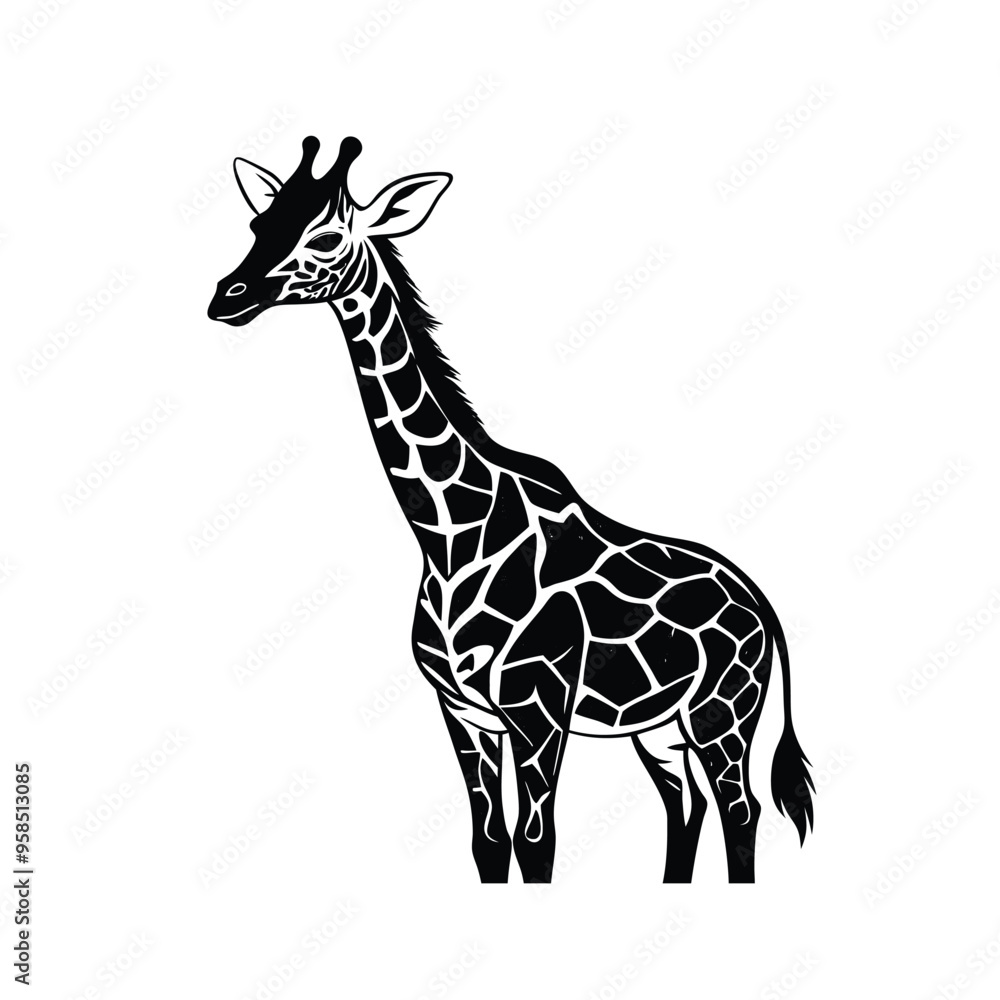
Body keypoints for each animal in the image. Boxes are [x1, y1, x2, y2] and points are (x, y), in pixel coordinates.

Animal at [208, 136, 814, 883]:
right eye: (258, 225)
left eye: (326, 237)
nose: (226, 298)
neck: (445, 538)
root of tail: (763, 607)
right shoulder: (462, 710)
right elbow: (489, 839)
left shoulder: (536, 709)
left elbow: (537, 839)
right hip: (656, 725)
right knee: (686, 804)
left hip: (722, 711)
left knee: (740, 808)